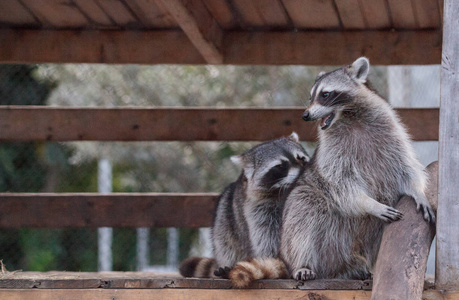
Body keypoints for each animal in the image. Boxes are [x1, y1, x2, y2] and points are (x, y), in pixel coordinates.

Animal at [180, 134, 310, 278]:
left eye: (301, 159)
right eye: (280, 166)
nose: (302, 172)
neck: (282, 190)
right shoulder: (258, 207)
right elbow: (266, 239)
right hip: (224, 218)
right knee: (226, 245)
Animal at [232, 56, 436, 288]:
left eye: (325, 94)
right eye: (310, 96)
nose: (305, 115)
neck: (349, 116)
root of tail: (337, 267)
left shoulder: (391, 132)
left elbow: (405, 167)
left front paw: (418, 191)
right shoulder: (332, 152)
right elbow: (339, 181)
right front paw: (369, 203)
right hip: (300, 232)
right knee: (303, 211)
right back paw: (303, 263)